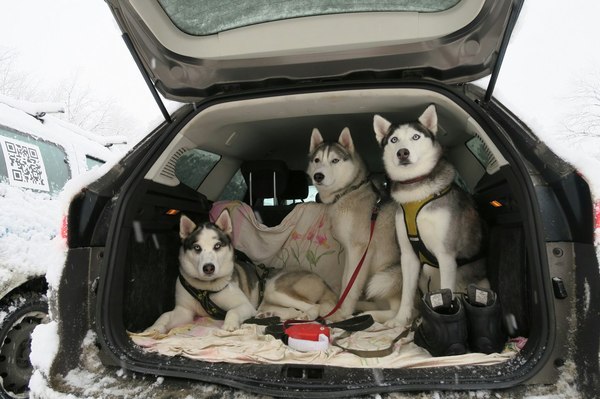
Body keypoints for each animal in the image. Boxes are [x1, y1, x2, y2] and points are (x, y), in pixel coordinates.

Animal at [145, 211, 338, 332]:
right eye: (197, 247)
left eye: (217, 246)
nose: (208, 268)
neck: (205, 289)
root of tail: (322, 281)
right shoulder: (184, 311)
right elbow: (164, 316)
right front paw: (154, 327)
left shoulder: (244, 305)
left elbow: (232, 311)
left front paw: (230, 324)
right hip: (269, 299)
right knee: (291, 310)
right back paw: (269, 315)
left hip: (274, 289)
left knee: (314, 307)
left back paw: (305, 316)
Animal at [308, 130, 400, 324]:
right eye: (317, 160)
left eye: (335, 160)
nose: (318, 176)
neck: (349, 191)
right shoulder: (349, 251)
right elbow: (346, 281)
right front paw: (339, 306)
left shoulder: (360, 249)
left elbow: (352, 286)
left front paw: (343, 312)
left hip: (386, 276)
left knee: (396, 312)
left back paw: (369, 314)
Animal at [376, 105, 488, 328]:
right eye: (393, 139)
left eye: (416, 136)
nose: (403, 152)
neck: (416, 191)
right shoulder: (408, 256)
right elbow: (406, 294)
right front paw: (401, 320)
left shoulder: (446, 255)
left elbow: (446, 291)